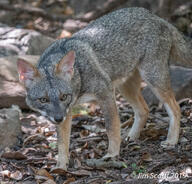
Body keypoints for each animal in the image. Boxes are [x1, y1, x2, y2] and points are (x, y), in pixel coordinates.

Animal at [17, 7, 192, 170]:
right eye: (43, 100)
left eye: (63, 96)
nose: (58, 118)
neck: (79, 76)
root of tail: (156, 17)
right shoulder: (67, 111)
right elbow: (62, 143)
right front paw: (61, 166)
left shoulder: (105, 93)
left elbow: (111, 128)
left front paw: (112, 154)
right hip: (125, 87)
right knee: (144, 109)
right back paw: (132, 137)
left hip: (153, 80)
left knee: (176, 108)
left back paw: (171, 140)